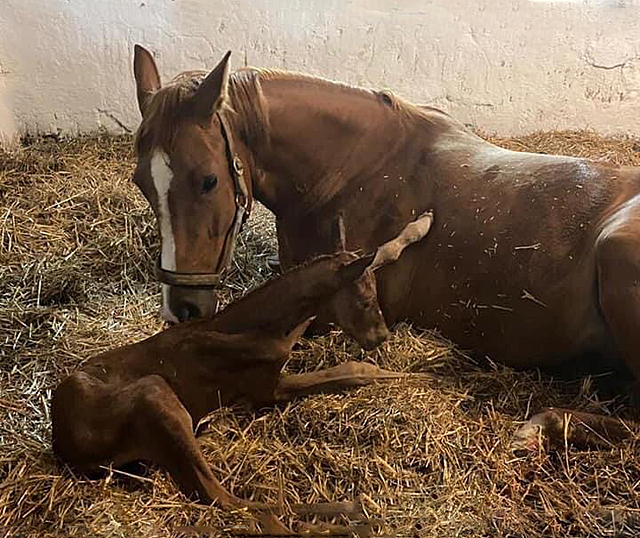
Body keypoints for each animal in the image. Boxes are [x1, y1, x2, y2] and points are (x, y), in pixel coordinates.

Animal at [52, 210, 432, 532]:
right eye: (365, 302)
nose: (381, 337)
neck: (266, 325)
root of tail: (63, 444)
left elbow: (379, 251)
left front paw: (423, 223)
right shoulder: (268, 387)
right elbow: (351, 370)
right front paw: (424, 376)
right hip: (154, 396)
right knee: (224, 498)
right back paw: (346, 515)